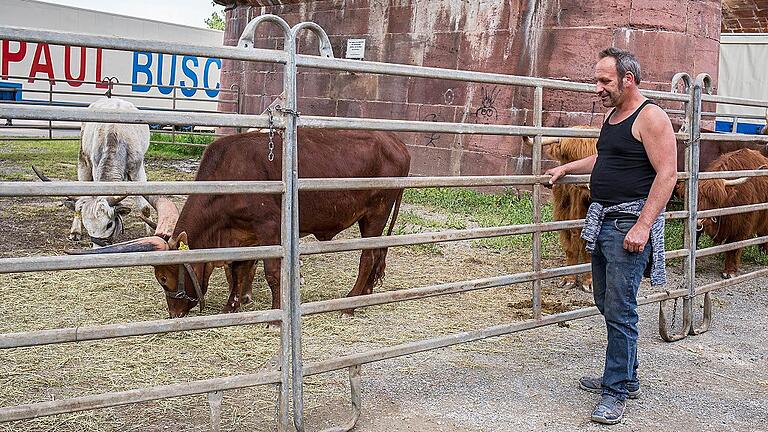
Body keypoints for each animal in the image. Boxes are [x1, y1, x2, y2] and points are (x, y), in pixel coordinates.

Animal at [520, 126, 596, 292]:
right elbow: (570, 248)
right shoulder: (563, 217)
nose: (588, 183)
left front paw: (589, 282)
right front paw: (569, 279)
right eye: (570, 157)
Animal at [696, 148, 768, 280]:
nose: (700, 220)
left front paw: (729, 271)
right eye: (698, 199)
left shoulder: (741, 226)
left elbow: (733, 247)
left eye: (715, 200)